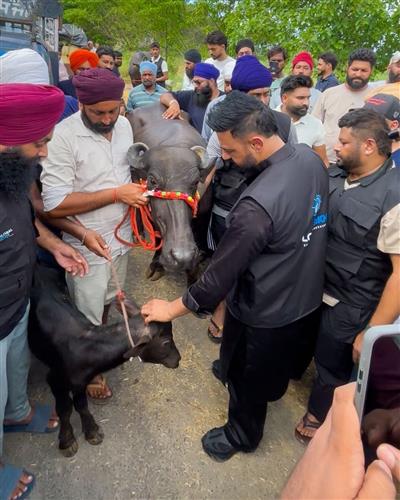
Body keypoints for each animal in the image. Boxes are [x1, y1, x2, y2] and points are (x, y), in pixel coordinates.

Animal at [28, 263, 181, 457]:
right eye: (166, 342)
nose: (178, 359)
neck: (89, 346)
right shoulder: (56, 379)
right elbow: (65, 409)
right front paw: (67, 440)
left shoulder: (80, 382)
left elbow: (81, 405)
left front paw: (91, 430)